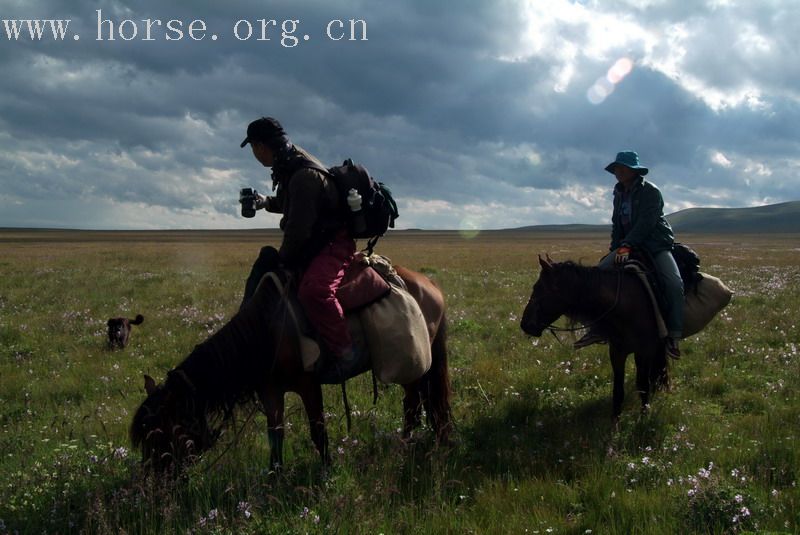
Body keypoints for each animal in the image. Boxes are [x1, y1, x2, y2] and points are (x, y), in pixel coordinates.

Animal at [131, 266, 450, 474]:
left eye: (160, 434)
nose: (153, 488)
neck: (265, 333)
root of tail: (431, 285)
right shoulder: (270, 391)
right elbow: (276, 435)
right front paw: (274, 477)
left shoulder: (308, 385)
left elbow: (318, 431)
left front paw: (327, 472)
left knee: (411, 407)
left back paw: (403, 446)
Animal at [520, 258, 668, 420]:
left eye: (538, 287)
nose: (524, 324)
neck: (626, 305)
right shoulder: (617, 351)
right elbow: (618, 391)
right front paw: (615, 423)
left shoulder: (644, 352)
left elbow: (643, 386)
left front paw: (643, 417)